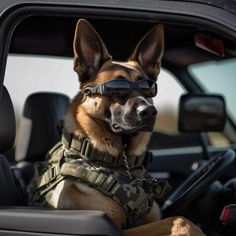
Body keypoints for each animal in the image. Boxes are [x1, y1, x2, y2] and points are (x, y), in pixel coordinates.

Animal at [28, 18, 205, 236]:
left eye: (149, 88)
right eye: (117, 89)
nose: (149, 112)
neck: (121, 162)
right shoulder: (114, 227)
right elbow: (182, 220)